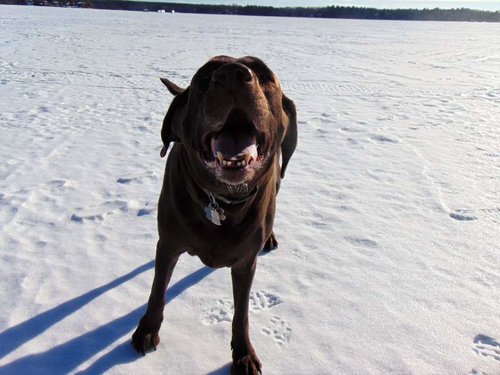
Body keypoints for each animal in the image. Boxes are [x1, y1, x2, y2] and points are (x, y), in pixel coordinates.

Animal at [132, 56, 296, 375]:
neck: (221, 201)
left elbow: (241, 312)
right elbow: (157, 290)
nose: (232, 74)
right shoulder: (168, 244)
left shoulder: (245, 262)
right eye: (205, 77)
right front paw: (147, 329)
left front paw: (243, 354)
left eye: (264, 74)